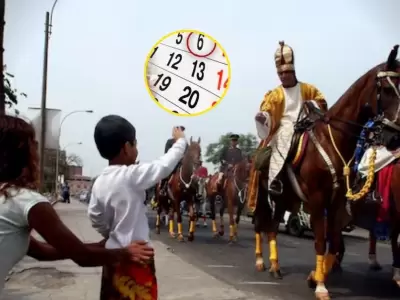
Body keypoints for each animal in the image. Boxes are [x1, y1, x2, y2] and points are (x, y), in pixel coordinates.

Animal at [248, 45, 398, 300]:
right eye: (387, 89)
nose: (394, 136)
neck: (333, 139)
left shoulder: (337, 204)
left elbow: (335, 243)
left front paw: (314, 276)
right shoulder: (318, 201)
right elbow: (320, 241)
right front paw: (320, 286)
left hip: (284, 199)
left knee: (273, 228)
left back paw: (276, 266)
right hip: (263, 194)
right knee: (261, 224)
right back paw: (260, 261)